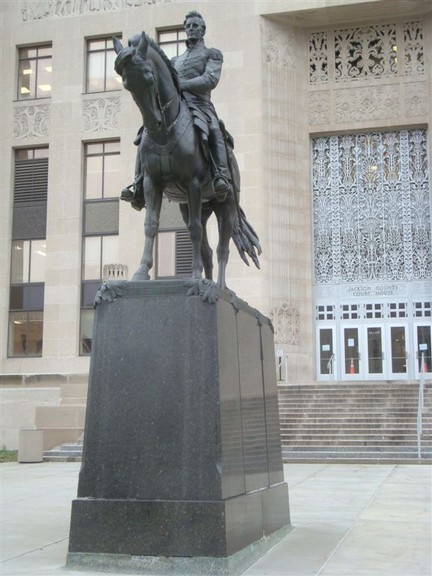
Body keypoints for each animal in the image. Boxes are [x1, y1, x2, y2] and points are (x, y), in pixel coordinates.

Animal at [112, 31, 260, 290]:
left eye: (148, 76)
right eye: (127, 83)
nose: (154, 123)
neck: (165, 133)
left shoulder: (193, 183)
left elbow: (194, 229)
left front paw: (194, 275)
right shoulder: (151, 182)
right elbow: (151, 225)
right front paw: (141, 273)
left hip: (226, 205)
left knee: (221, 249)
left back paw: (220, 288)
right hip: (196, 206)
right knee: (208, 251)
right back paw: (208, 282)